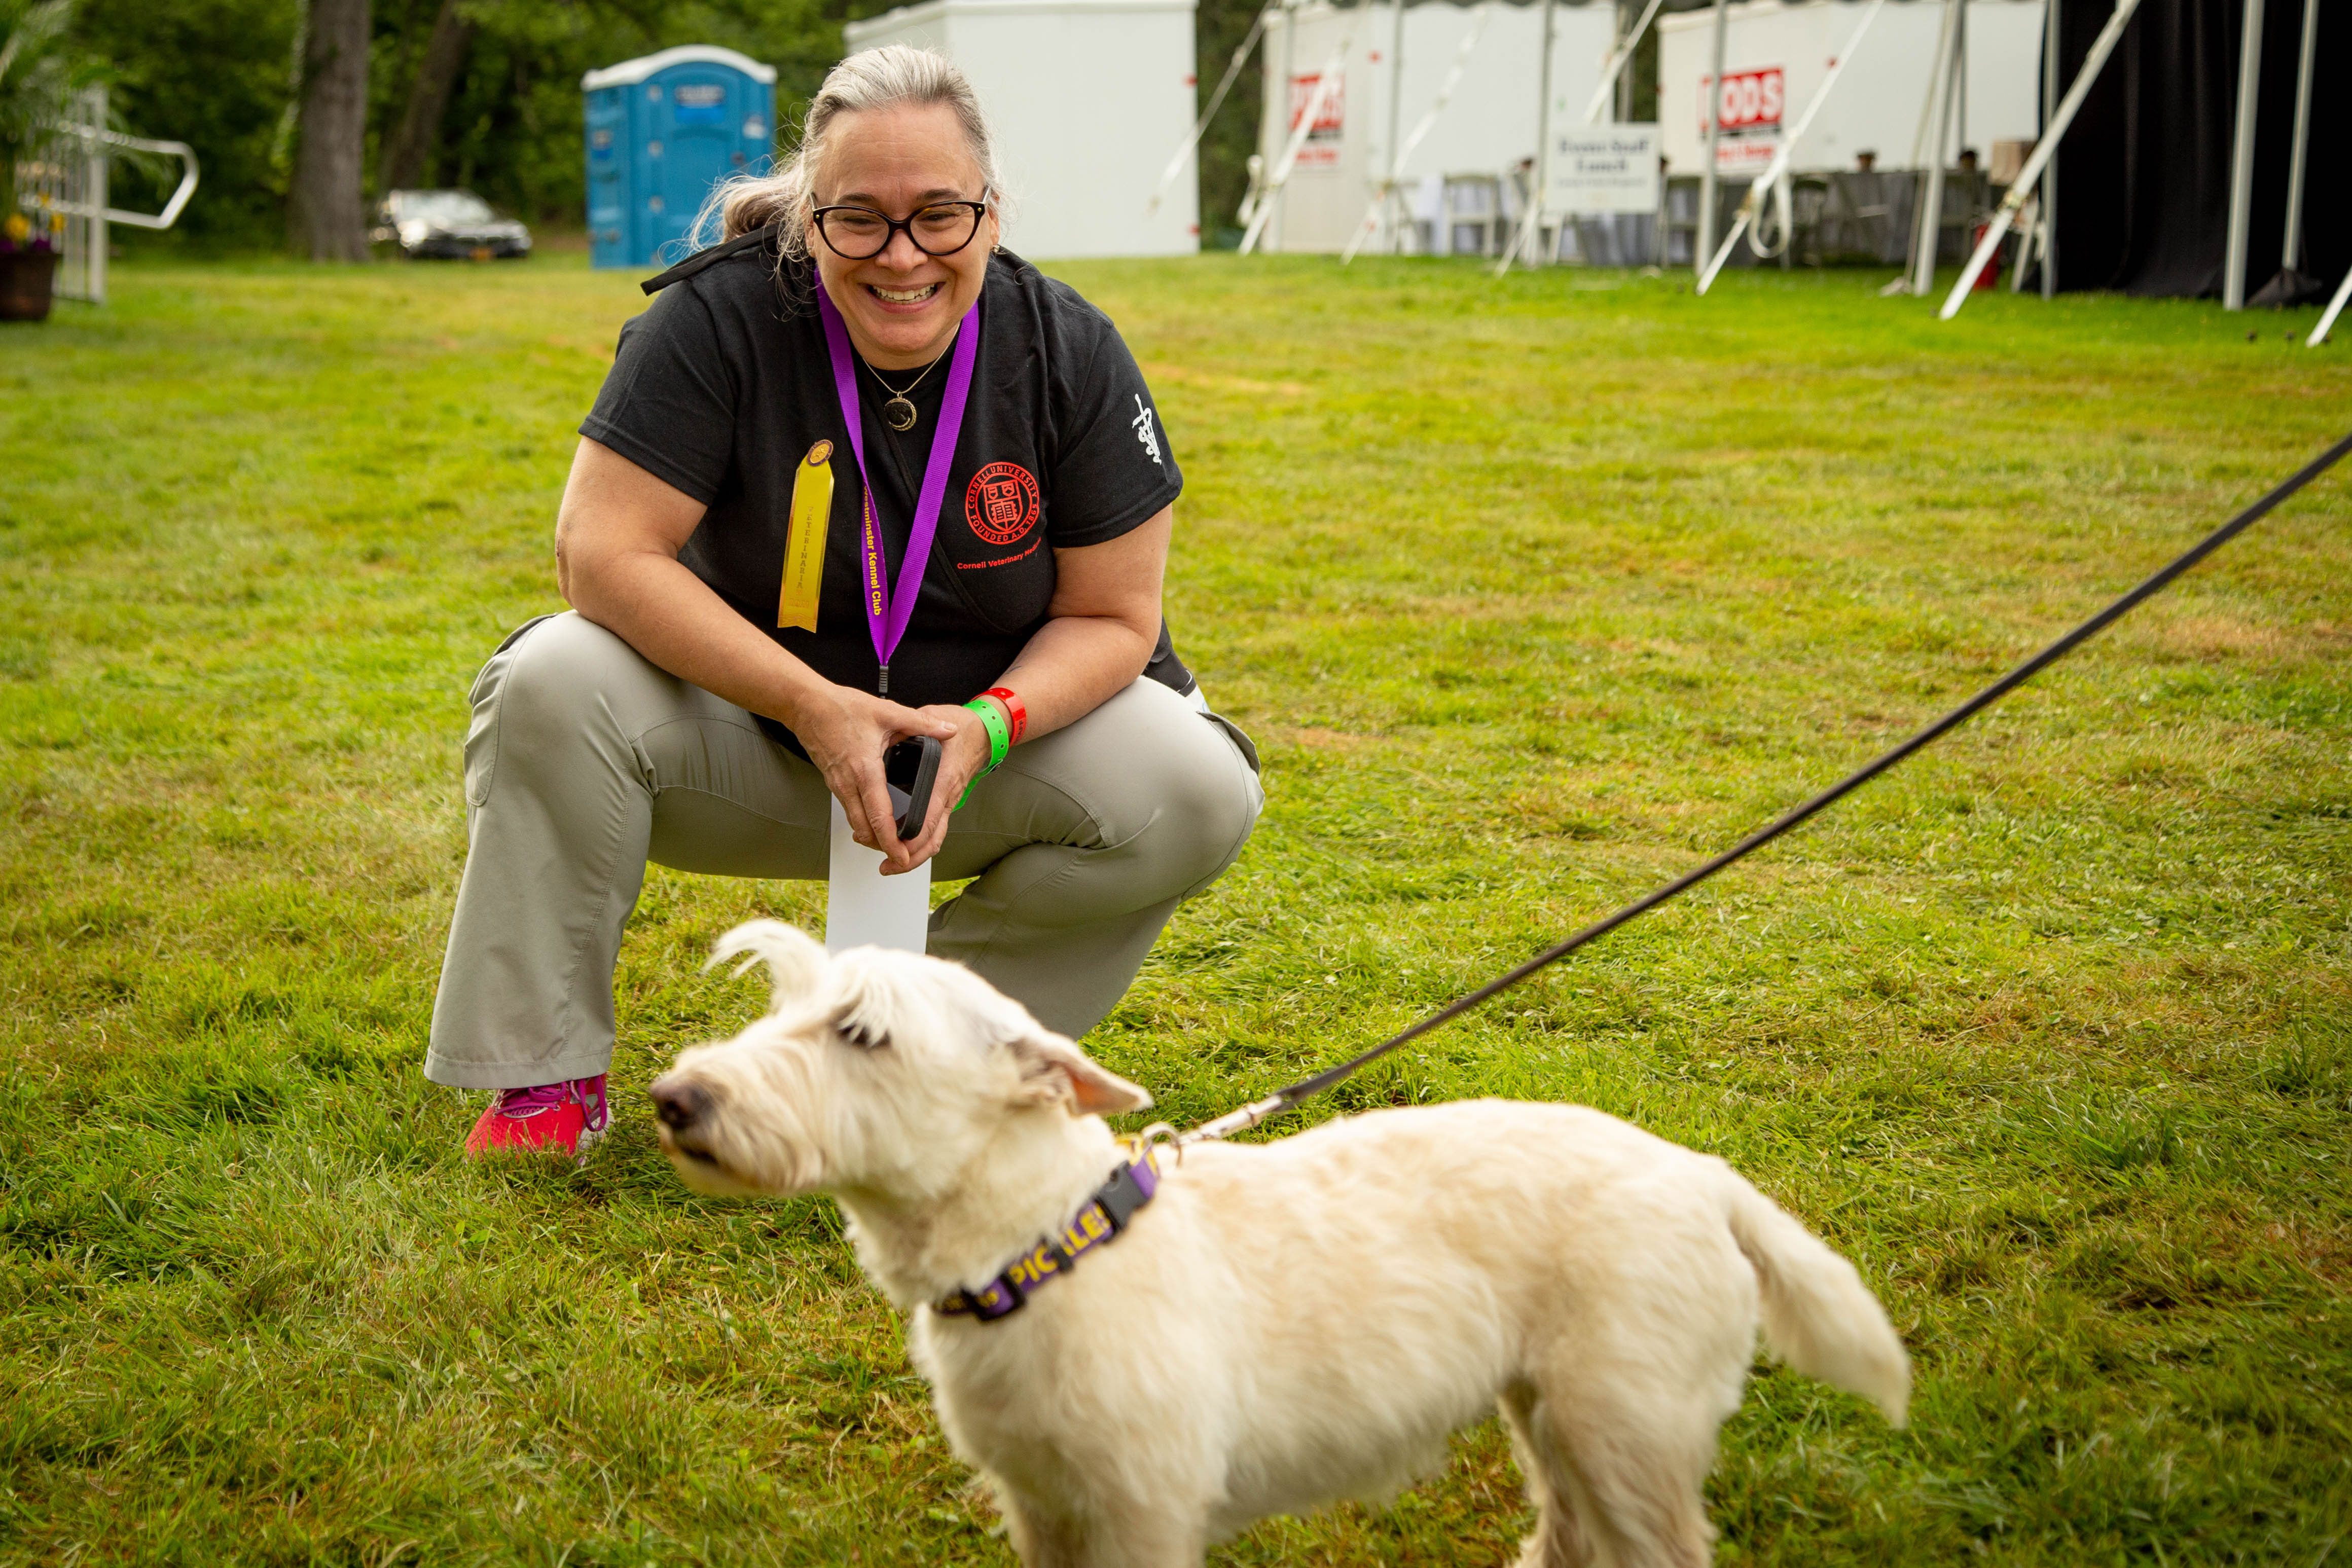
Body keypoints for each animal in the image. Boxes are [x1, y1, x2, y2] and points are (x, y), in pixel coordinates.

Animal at [649, 921, 1909, 1568]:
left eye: (863, 1033)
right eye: (778, 1005)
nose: (676, 1099)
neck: (1048, 1244)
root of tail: (1707, 1179)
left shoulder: (1142, 1511)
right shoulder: (1043, 1506)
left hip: (1629, 1428)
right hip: (1558, 1414)